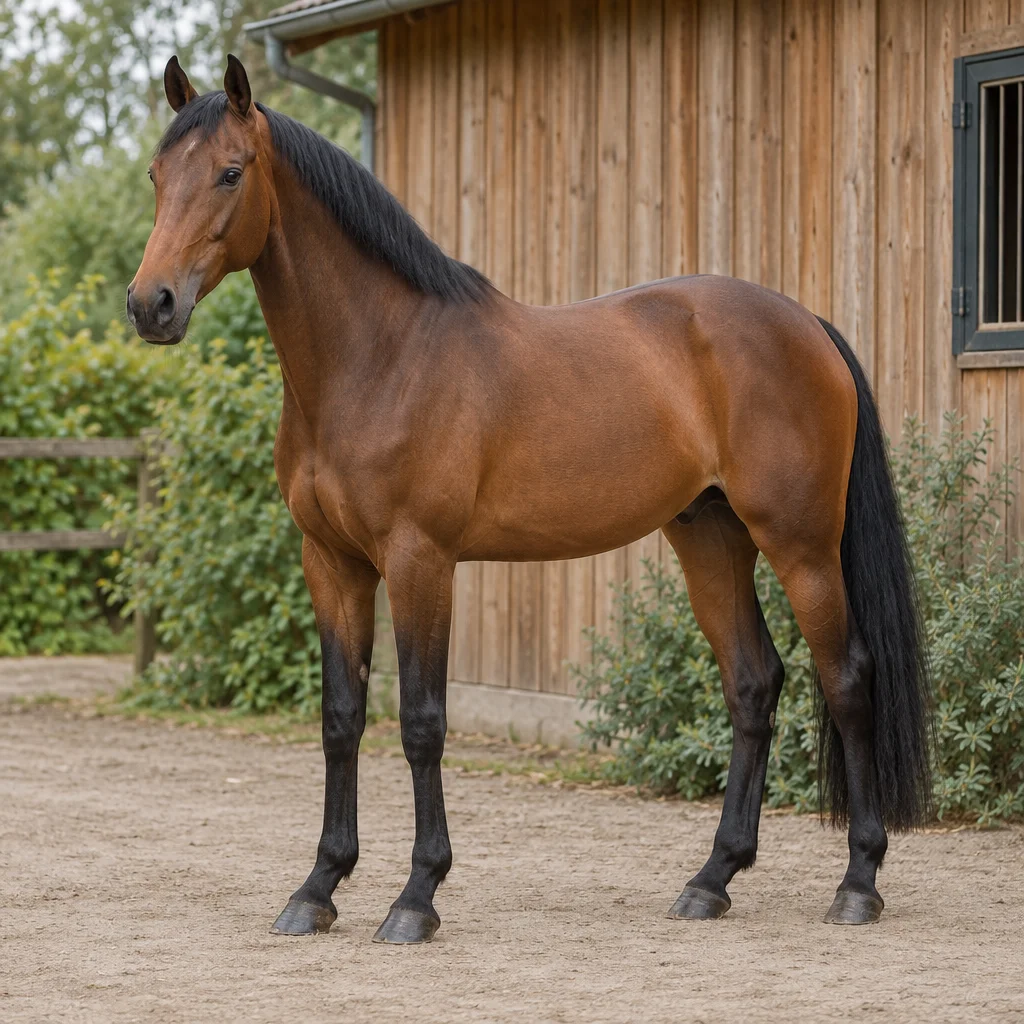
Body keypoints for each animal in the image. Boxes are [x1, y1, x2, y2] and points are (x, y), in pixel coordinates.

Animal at [127, 55, 932, 944]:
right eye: (159, 175)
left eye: (231, 173)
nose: (151, 304)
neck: (379, 358)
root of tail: (808, 325)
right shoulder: (331, 563)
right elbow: (342, 719)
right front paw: (318, 888)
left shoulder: (420, 561)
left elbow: (421, 722)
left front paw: (417, 897)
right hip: (710, 540)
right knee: (754, 686)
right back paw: (711, 879)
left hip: (801, 545)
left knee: (847, 678)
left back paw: (858, 882)